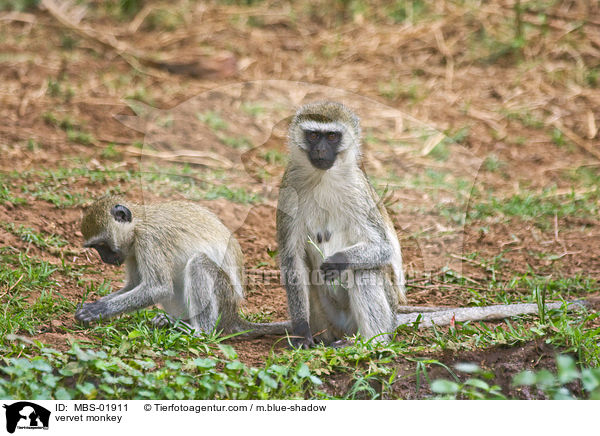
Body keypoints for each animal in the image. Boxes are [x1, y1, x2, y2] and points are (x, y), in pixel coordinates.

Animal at [76, 196, 292, 338]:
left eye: (102, 246)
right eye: (96, 248)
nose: (105, 259)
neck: (137, 225)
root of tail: (233, 316)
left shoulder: (149, 241)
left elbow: (159, 287)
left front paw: (98, 310)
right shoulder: (131, 252)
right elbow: (135, 285)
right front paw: (91, 305)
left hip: (224, 297)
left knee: (198, 263)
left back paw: (199, 331)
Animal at [276, 101, 584, 348]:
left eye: (332, 136)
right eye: (313, 135)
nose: (321, 150)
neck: (323, 178)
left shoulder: (358, 193)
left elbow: (383, 249)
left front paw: (339, 260)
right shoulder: (288, 189)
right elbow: (292, 260)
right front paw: (301, 332)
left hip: (383, 310)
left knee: (366, 271)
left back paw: (370, 342)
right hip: (326, 318)